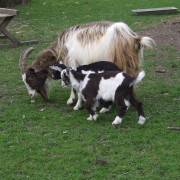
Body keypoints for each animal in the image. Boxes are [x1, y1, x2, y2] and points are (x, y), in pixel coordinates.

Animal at [19, 21, 155, 101]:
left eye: (30, 79)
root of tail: (134, 38)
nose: (31, 94)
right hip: (131, 62)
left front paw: (71, 100)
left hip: (121, 61)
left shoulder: (70, 62)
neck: (59, 50)